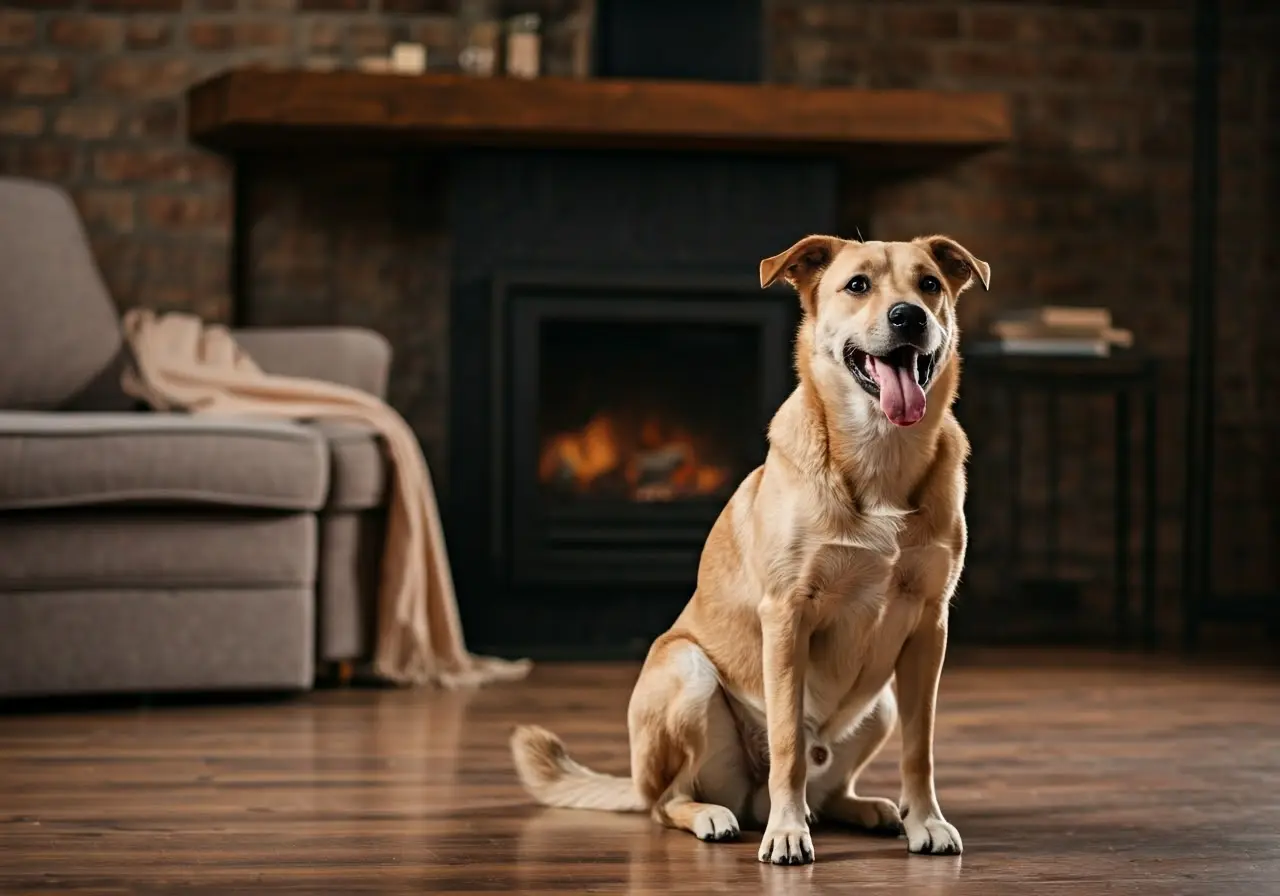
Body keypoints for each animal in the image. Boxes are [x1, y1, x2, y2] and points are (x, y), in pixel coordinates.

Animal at [509, 234, 988, 865]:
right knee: (671, 801)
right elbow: (787, 744)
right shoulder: (786, 616)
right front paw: (787, 833)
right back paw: (721, 815)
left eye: (929, 284)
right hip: (687, 674)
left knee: (830, 787)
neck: (879, 452)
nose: (908, 316)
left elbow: (921, 746)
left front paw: (925, 821)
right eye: (857, 285)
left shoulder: (930, 626)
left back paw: (867, 810)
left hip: (881, 702)